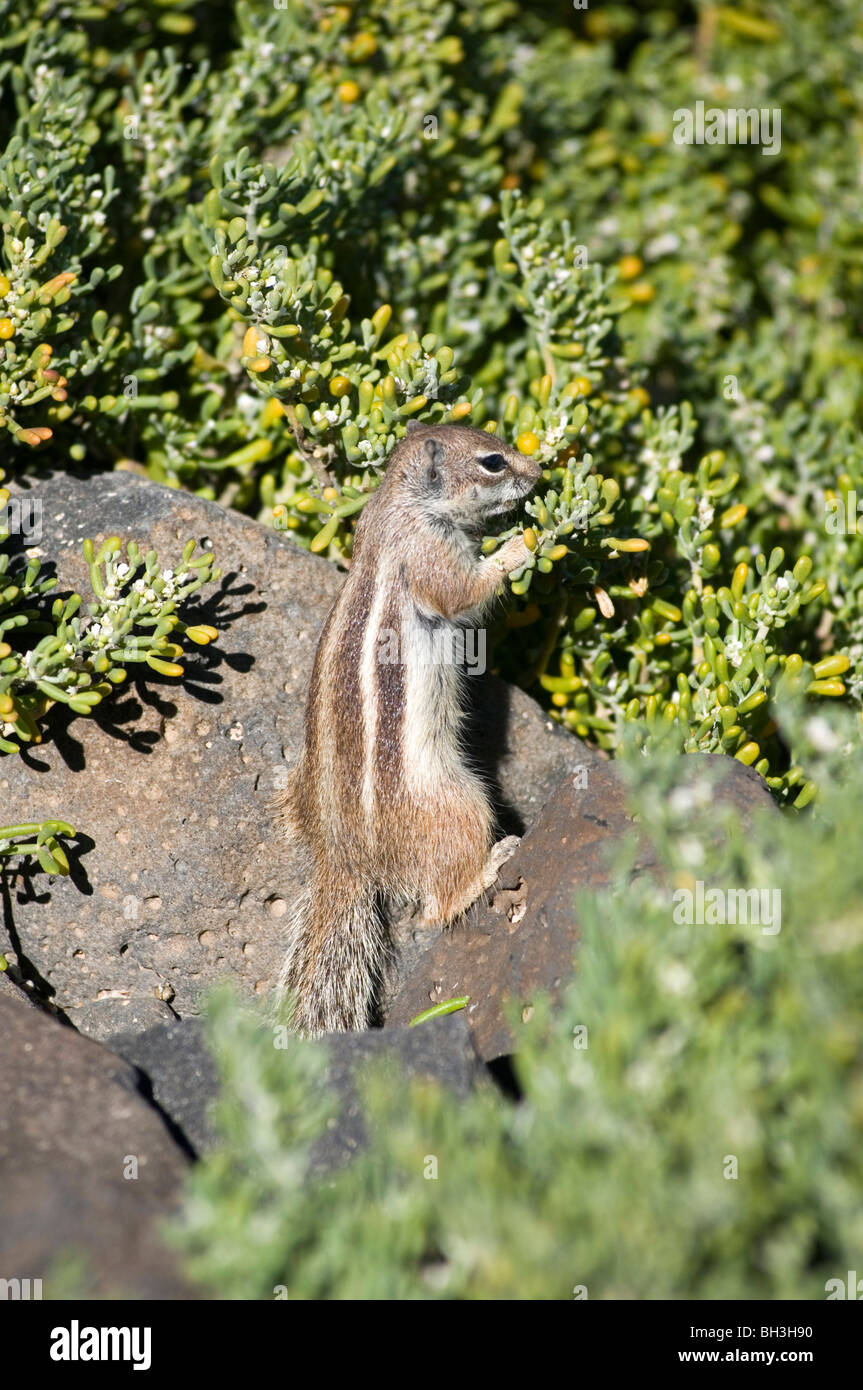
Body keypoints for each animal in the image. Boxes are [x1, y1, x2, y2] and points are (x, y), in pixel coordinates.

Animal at [279, 419, 539, 1034]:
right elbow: (465, 592)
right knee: (434, 909)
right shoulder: (430, 557)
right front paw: (520, 546)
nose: (540, 471)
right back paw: (491, 865)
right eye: (493, 461)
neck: (404, 506)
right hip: (460, 807)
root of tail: (345, 858)